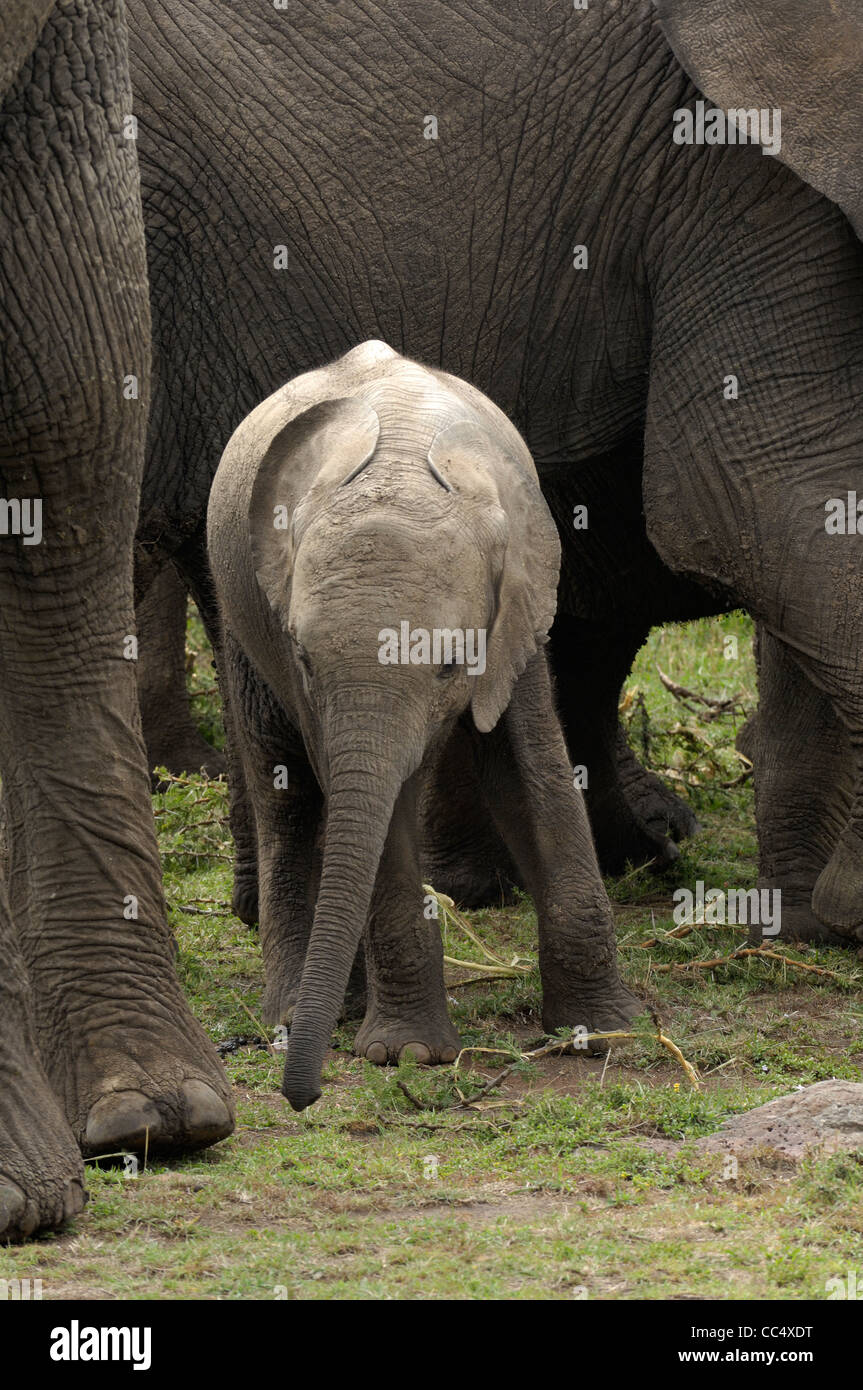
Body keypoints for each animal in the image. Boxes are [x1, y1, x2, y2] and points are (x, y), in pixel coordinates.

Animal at [208, 341, 639, 1112]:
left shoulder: (518, 611)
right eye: (306, 658)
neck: (404, 464)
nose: (301, 1098)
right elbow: (366, 803)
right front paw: (406, 1053)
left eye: (447, 664)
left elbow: (531, 773)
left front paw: (604, 1030)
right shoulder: (292, 654)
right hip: (237, 610)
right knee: (286, 791)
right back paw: (296, 1014)